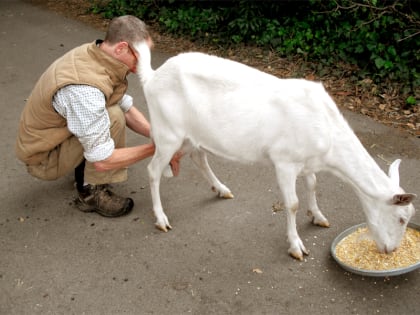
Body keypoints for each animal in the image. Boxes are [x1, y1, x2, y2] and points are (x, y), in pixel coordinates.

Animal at [133, 40, 416, 260]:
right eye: (402, 218)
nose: (391, 250)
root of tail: (152, 77)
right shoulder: (285, 162)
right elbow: (292, 204)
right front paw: (296, 246)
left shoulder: (307, 161)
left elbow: (313, 184)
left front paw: (317, 216)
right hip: (168, 133)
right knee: (153, 170)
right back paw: (161, 219)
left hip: (192, 134)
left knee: (198, 155)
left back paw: (221, 189)